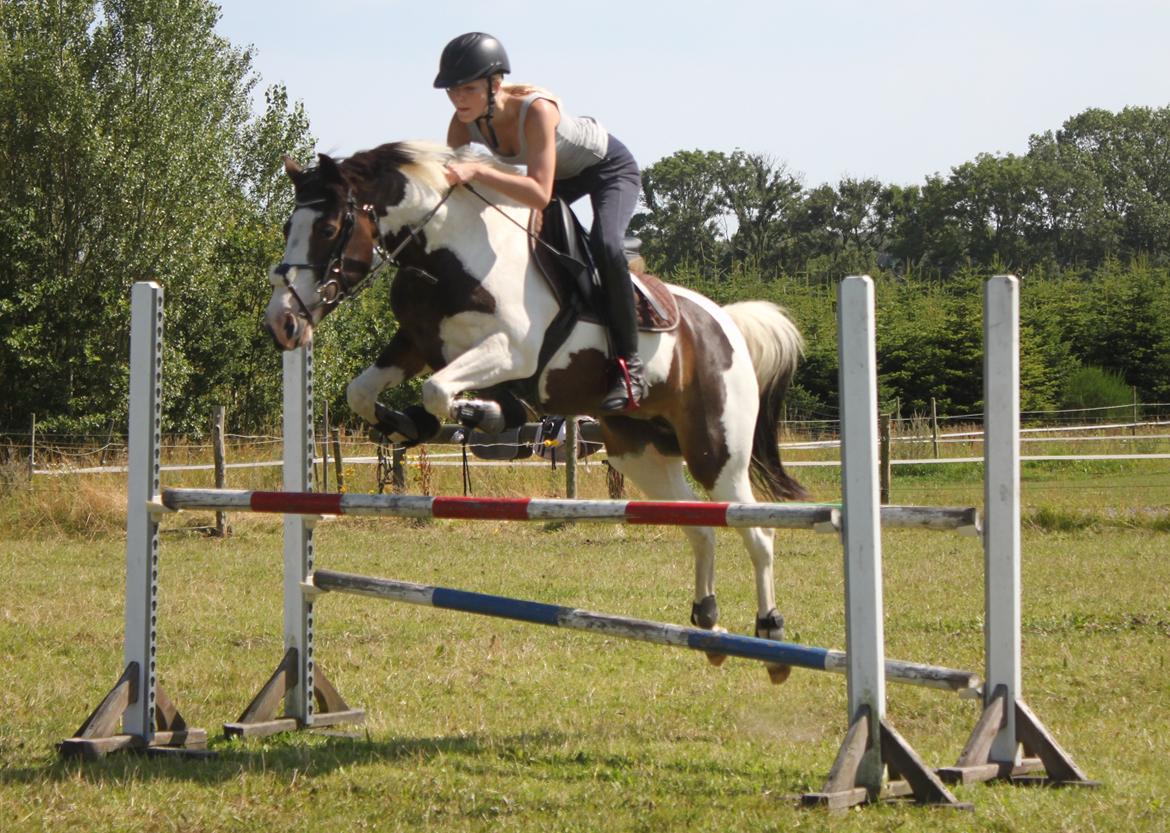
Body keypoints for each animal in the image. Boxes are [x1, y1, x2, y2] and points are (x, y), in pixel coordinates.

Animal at [265, 141, 808, 682]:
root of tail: (724, 322)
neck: (449, 253)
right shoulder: (415, 344)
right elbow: (363, 391)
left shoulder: (512, 352)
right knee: (701, 526)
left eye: (328, 229)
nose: (282, 323)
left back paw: (771, 636)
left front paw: (480, 413)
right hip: (640, 455)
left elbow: (440, 390)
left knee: (757, 532)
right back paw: (709, 627)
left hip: (716, 451)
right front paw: (407, 425)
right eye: (289, 228)